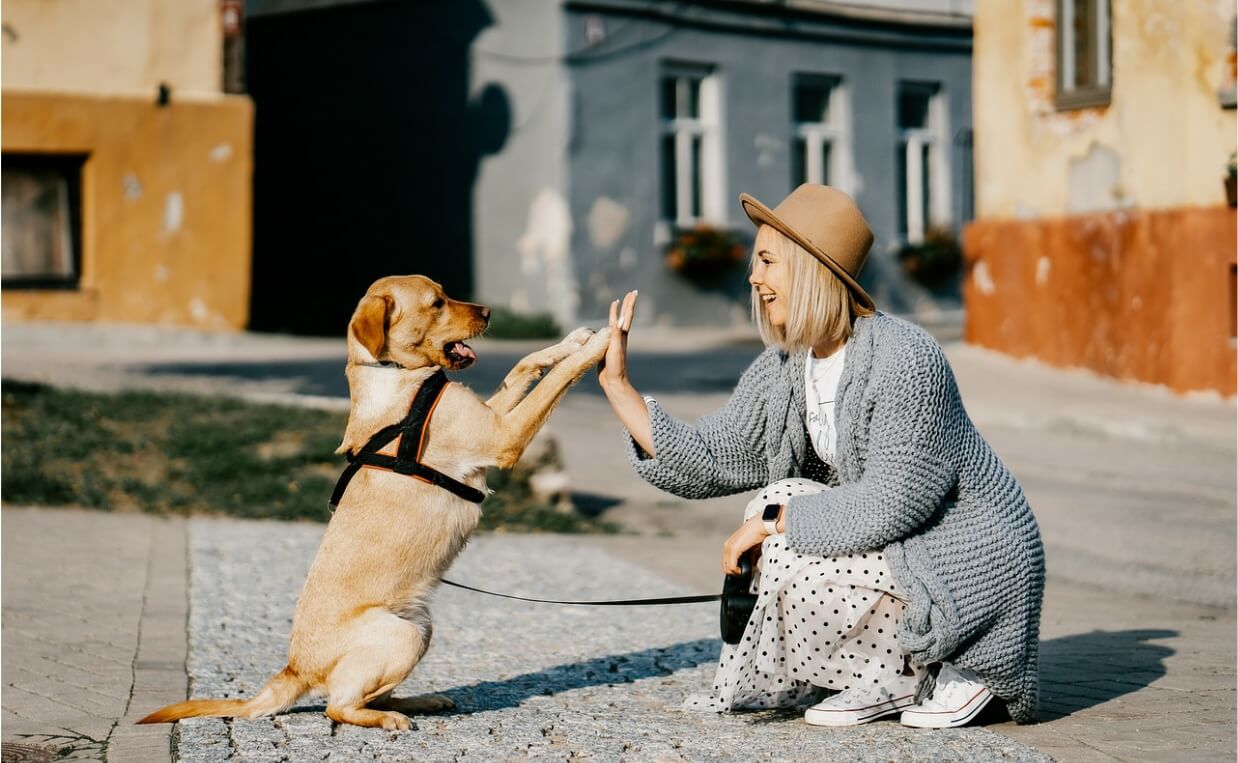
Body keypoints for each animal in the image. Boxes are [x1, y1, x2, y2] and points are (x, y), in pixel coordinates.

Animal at [138, 276, 611, 733]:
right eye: (437, 303)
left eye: (445, 294)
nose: (489, 312)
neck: (397, 376)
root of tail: (294, 669)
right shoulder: (502, 436)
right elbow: (555, 380)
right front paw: (602, 343)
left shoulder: (493, 416)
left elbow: (525, 364)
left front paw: (573, 340)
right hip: (401, 636)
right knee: (338, 706)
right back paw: (388, 718)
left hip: (421, 627)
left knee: (367, 695)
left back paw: (420, 701)